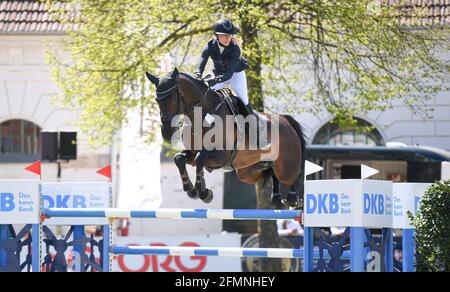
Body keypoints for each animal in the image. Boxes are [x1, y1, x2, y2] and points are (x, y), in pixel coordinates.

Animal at [146, 68, 308, 210]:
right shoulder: (193, 152)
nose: (166, 132)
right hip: (246, 172)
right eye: (156, 99)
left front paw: (204, 193)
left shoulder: (221, 156)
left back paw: (293, 198)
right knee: (270, 173)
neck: (201, 115)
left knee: (296, 173)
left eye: (172, 97)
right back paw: (277, 200)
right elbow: (179, 159)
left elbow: (200, 158)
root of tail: (286, 121)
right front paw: (192, 190)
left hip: (286, 167)